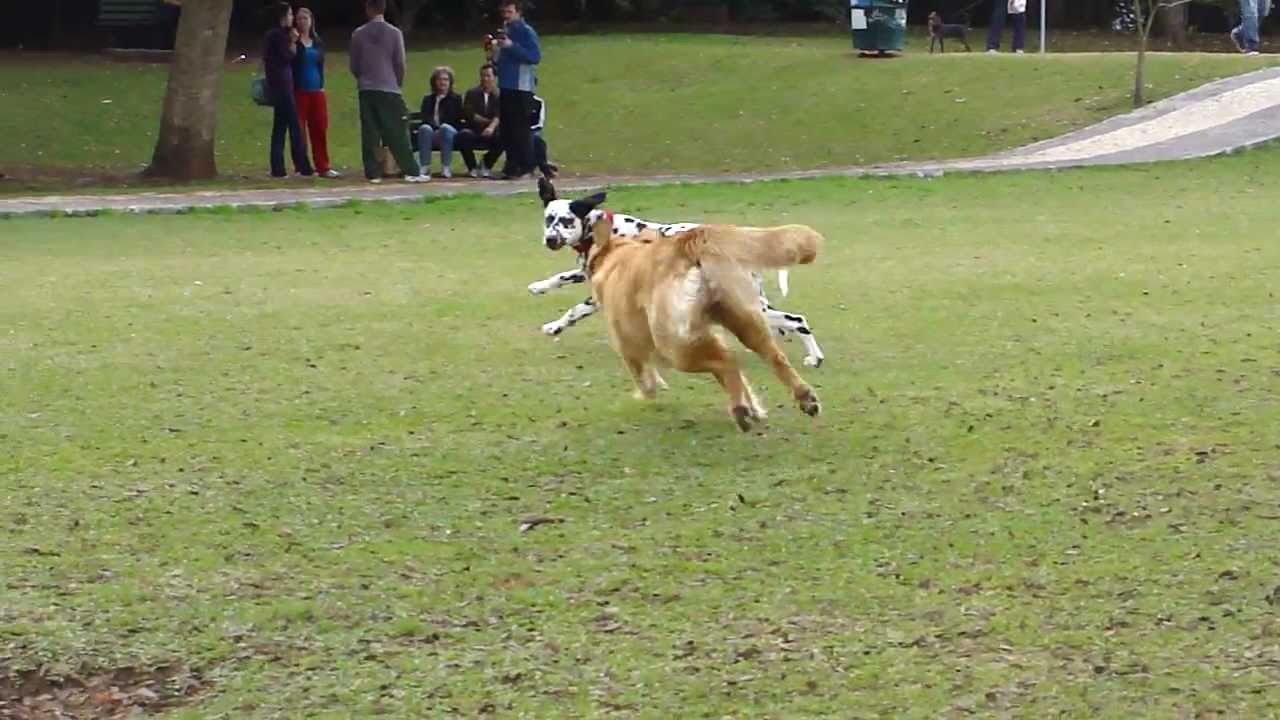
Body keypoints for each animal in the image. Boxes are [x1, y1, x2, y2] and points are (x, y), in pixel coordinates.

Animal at [524, 176, 824, 366]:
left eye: (566, 221)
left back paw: (814, 356)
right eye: (549, 219)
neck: (603, 230)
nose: (550, 239)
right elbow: (563, 278)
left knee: (796, 320)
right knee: (788, 322)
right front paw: (540, 287)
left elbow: (575, 310)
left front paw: (555, 325)